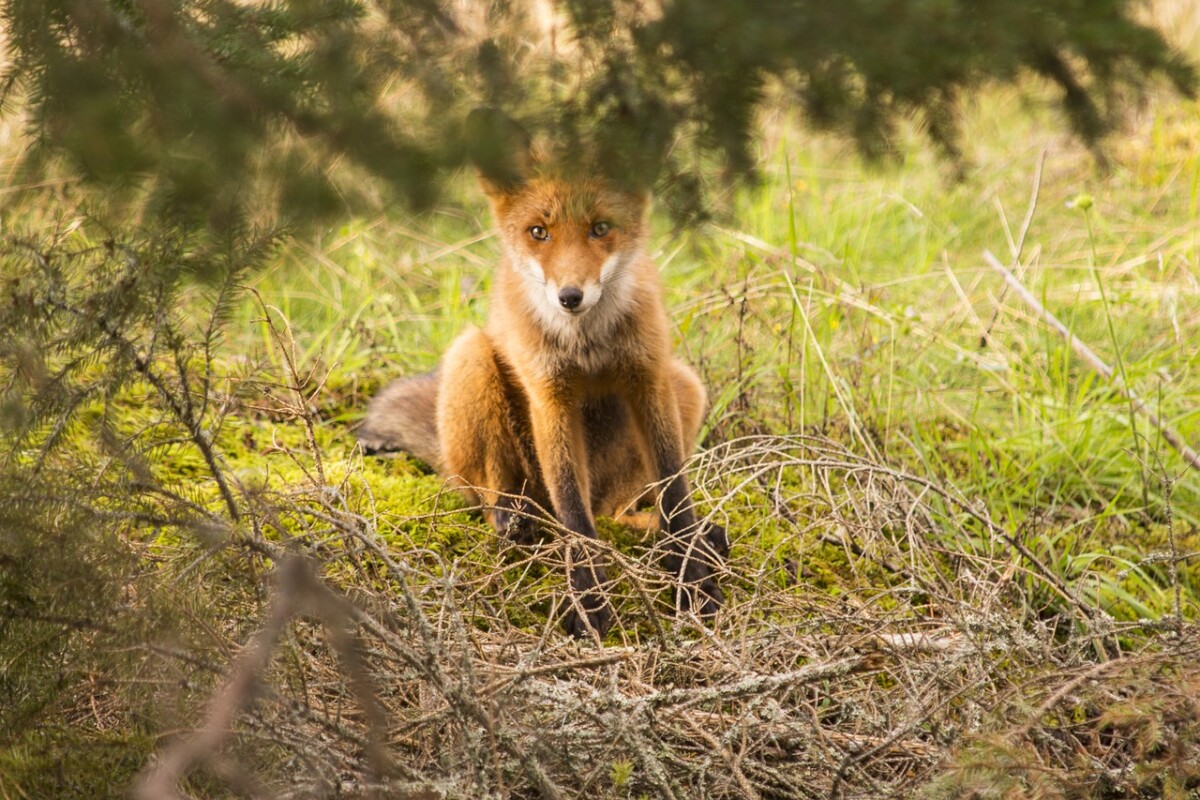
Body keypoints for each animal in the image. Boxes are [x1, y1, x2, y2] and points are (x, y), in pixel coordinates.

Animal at [355, 110, 724, 638]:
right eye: (538, 232)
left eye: (600, 228)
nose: (570, 296)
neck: (587, 347)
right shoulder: (551, 396)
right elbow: (574, 511)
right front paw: (588, 602)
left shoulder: (648, 379)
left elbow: (676, 496)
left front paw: (694, 583)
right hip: (471, 361)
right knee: (504, 501)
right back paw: (518, 524)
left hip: (685, 387)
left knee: (613, 514)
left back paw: (653, 530)